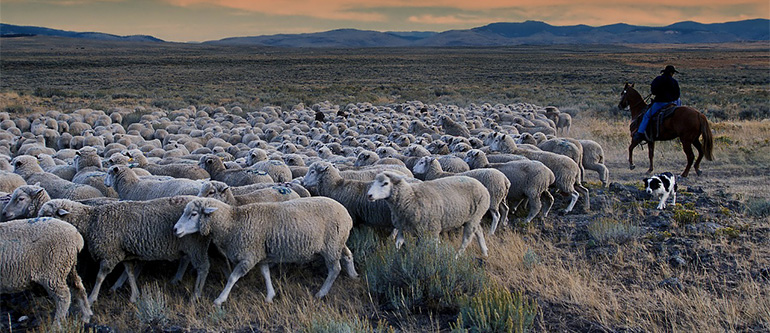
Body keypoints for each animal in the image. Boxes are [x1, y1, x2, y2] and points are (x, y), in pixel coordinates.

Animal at [39, 197, 210, 304]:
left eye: (48, 214)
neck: (91, 221)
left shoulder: (110, 254)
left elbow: (100, 277)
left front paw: (92, 297)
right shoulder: (122, 253)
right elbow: (130, 272)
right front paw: (134, 295)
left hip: (195, 245)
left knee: (203, 268)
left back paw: (196, 295)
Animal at [172, 196, 356, 304]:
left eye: (194, 214)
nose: (175, 229)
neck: (232, 222)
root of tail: (347, 214)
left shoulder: (249, 256)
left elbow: (232, 278)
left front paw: (220, 299)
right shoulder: (260, 254)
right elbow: (265, 273)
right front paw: (270, 296)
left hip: (331, 246)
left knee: (334, 269)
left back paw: (321, 293)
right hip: (338, 242)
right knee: (347, 255)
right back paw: (354, 275)